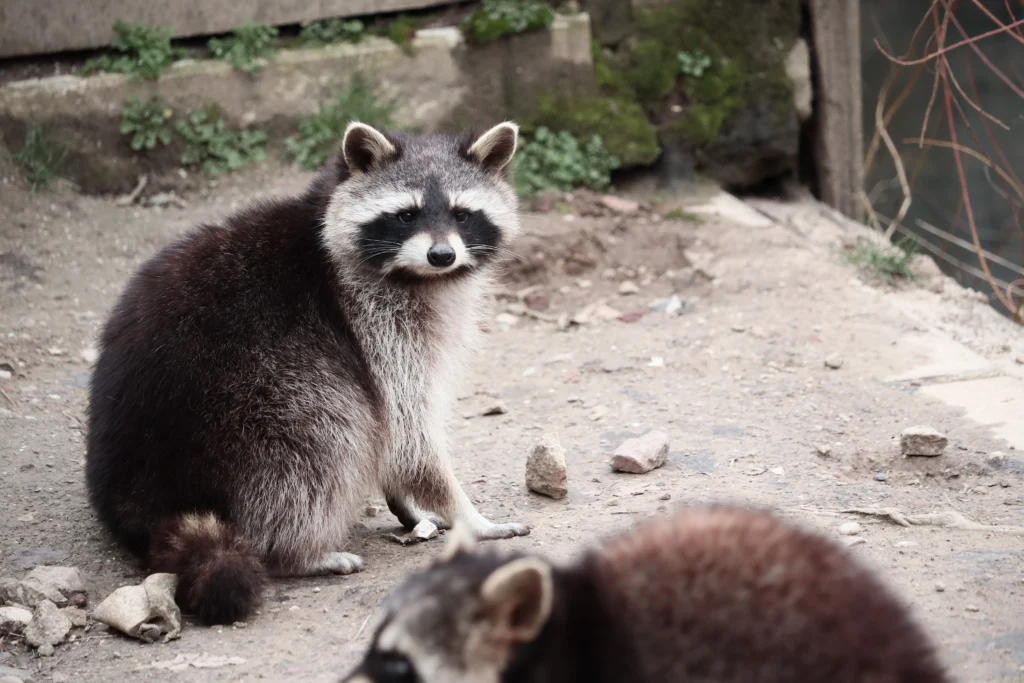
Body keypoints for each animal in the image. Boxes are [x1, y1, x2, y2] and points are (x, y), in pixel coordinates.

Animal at [85, 121, 530, 626]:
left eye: (462, 213)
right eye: (406, 215)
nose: (441, 255)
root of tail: (143, 500)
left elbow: (396, 440)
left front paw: (409, 504)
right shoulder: (373, 323)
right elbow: (407, 435)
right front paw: (469, 517)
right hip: (258, 399)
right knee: (325, 435)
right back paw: (296, 553)